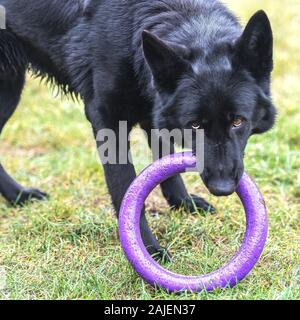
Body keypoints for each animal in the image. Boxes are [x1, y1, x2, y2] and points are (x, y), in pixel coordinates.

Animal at [0, 0, 276, 258]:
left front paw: (183, 204)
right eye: (195, 124)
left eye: (238, 121)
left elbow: (166, 164)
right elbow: (126, 189)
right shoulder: (106, 119)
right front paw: (147, 248)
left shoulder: (154, 111)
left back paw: (18, 196)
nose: (223, 188)